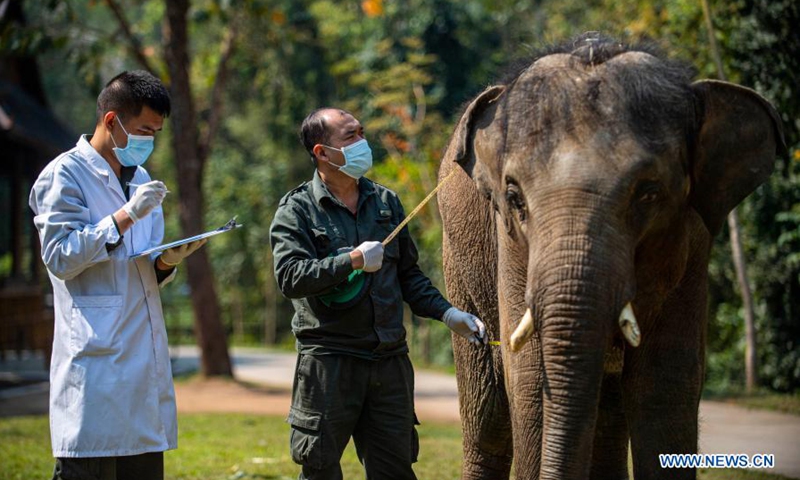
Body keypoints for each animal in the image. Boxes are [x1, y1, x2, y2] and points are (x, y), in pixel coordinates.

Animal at [437, 32, 786, 480]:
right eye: (514, 198)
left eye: (649, 193)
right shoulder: (510, 243)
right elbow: (530, 380)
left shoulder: (692, 243)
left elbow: (666, 384)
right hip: (459, 261)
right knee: (489, 420)